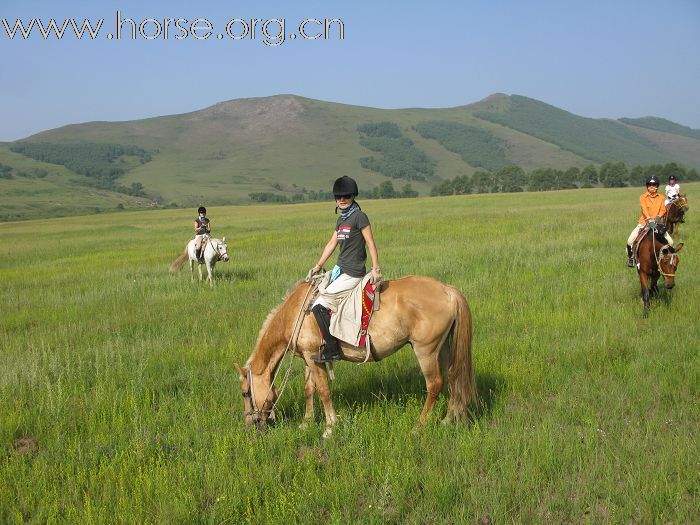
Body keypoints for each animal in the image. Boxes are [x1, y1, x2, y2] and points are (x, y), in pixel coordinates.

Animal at [235, 276, 476, 436]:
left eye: (246, 393)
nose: (249, 425)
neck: (296, 314)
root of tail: (448, 290)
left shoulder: (313, 356)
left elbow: (324, 391)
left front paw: (329, 428)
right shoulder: (309, 358)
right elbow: (309, 389)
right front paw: (306, 421)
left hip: (426, 350)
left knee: (435, 384)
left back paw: (419, 426)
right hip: (443, 348)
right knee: (454, 377)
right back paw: (448, 420)